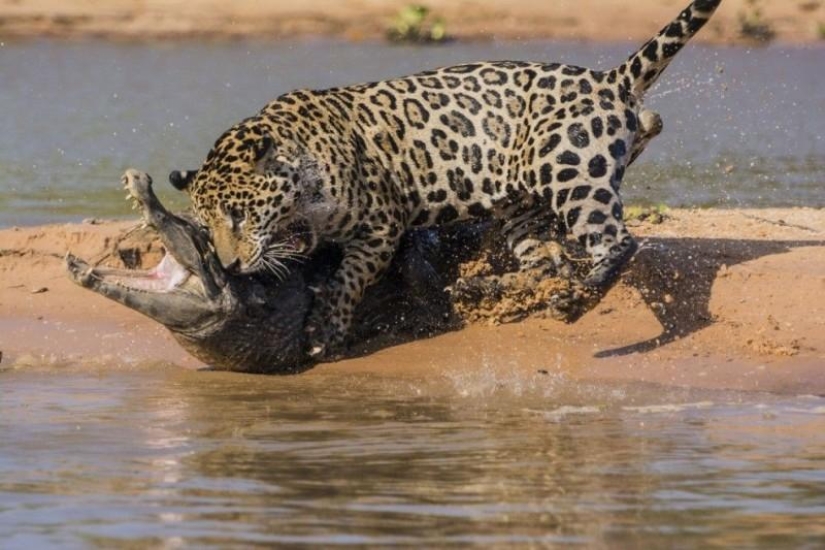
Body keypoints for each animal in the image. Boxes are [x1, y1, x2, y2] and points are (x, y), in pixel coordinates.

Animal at [170, 0, 722, 359]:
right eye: (207, 224)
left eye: (238, 215)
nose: (230, 265)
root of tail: (610, 80)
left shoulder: (381, 223)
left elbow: (350, 277)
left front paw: (326, 329)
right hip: (521, 204)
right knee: (548, 260)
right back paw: (483, 288)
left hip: (571, 171)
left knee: (617, 243)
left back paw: (574, 302)